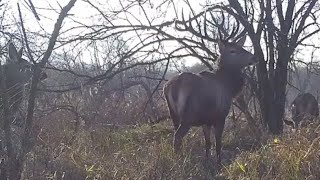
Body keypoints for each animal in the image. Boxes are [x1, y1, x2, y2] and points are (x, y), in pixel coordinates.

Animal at [164, 36, 256, 165]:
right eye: (232, 51)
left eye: (242, 47)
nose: (254, 58)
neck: (229, 88)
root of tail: (171, 88)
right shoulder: (220, 117)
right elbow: (218, 143)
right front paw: (219, 164)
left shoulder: (205, 121)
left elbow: (207, 143)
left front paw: (207, 161)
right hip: (188, 117)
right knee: (177, 137)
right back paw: (178, 161)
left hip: (174, 115)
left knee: (176, 135)